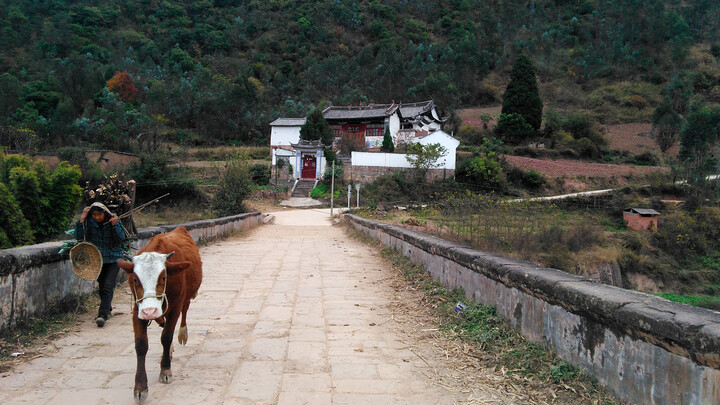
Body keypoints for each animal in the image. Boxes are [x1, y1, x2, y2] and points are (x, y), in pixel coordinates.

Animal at [117, 226, 202, 400]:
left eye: (163, 277)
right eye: (135, 280)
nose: (150, 311)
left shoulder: (175, 306)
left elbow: (166, 337)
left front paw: (166, 370)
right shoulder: (138, 310)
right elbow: (141, 344)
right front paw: (140, 387)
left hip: (186, 297)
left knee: (185, 311)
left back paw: (182, 335)